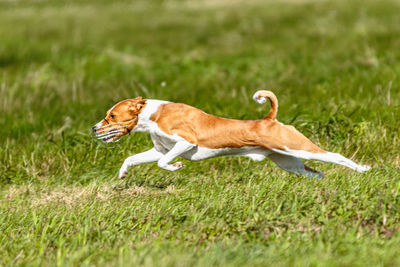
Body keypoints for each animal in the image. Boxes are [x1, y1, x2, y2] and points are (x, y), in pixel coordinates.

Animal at [92, 91, 370, 180]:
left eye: (112, 116)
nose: (94, 128)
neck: (154, 115)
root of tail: (269, 119)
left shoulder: (185, 142)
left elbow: (163, 163)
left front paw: (176, 167)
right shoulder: (160, 148)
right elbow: (132, 159)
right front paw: (123, 174)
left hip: (298, 148)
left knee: (336, 156)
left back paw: (363, 169)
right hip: (289, 162)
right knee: (317, 173)